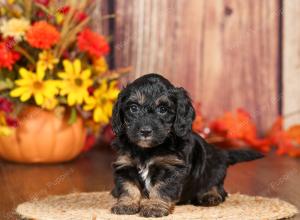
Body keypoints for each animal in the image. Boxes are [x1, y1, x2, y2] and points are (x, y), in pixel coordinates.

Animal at [109, 73, 262, 217]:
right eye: (133, 108)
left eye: (163, 109)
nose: (145, 131)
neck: (148, 150)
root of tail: (221, 153)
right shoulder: (125, 164)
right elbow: (128, 187)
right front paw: (126, 204)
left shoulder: (171, 168)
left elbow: (161, 188)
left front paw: (155, 207)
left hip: (214, 170)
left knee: (218, 188)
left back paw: (210, 195)